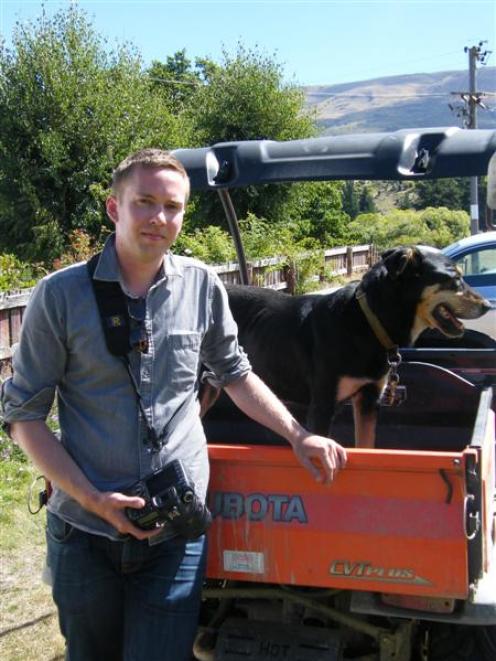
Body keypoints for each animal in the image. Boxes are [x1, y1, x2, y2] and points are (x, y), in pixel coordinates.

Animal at [201, 245, 488, 446]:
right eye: (455, 279)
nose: (487, 305)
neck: (368, 321)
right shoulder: (322, 407)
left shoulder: (369, 400)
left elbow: (366, 447)